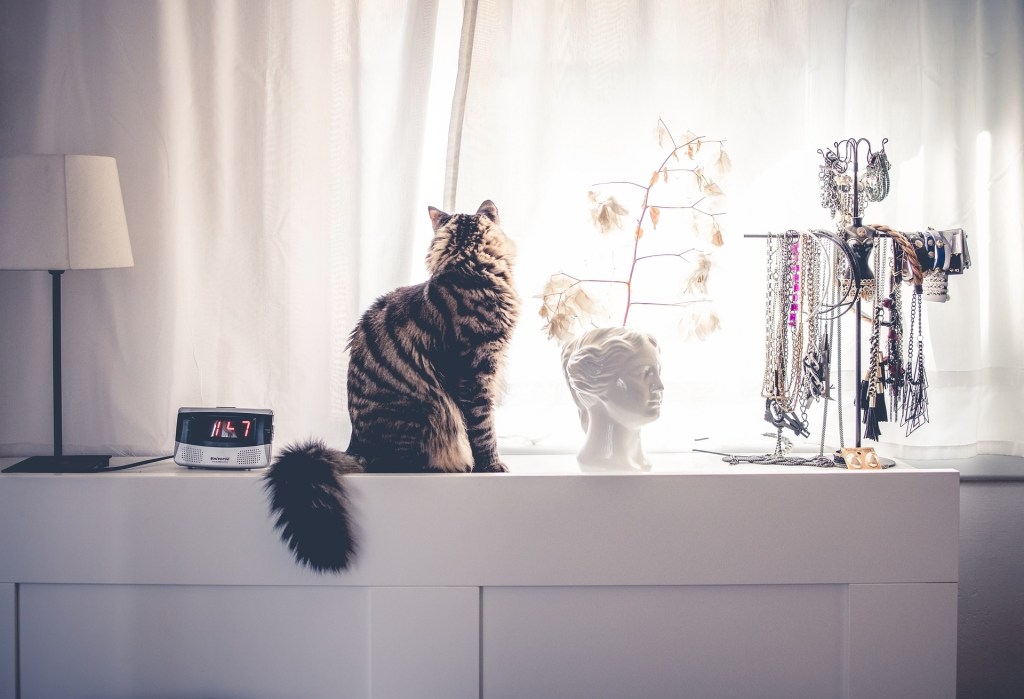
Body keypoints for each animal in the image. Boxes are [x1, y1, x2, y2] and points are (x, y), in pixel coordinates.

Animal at [266, 199, 520, 573]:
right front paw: (492, 466)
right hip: (429, 412)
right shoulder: (475, 371)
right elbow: (483, 428)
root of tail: (357, 445)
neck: (467, 265)